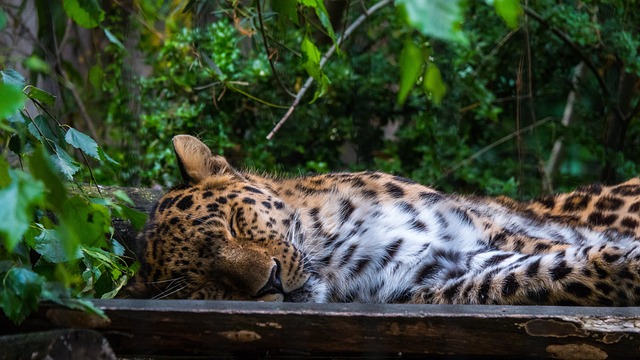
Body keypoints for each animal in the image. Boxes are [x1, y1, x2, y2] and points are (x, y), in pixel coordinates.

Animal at [124, 134, 640, 306]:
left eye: (233, 222)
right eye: (202, 283)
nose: (269, 283)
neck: (331, 247)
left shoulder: (485, 232)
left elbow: (550, 252)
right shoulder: (435, 278)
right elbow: (547, 274)